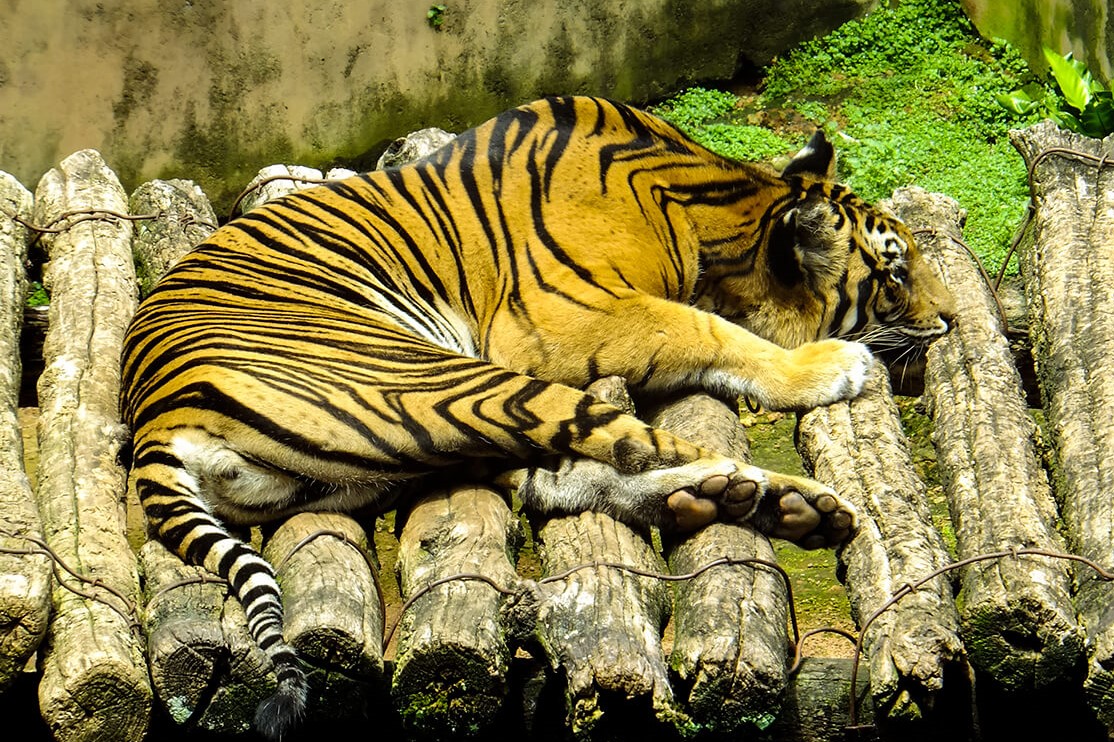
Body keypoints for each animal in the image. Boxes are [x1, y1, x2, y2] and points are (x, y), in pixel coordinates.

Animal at [119, 95, 958, 735]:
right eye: (894, 273)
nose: (952, 320)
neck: (715, 205)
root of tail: (155, 415)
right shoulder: (563, 315)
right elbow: (711, 331)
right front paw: (828, 366)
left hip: (408, 440)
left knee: (567, 475)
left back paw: (766, 504)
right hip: (445, 376)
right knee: (635, 446)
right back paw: (783, 499)